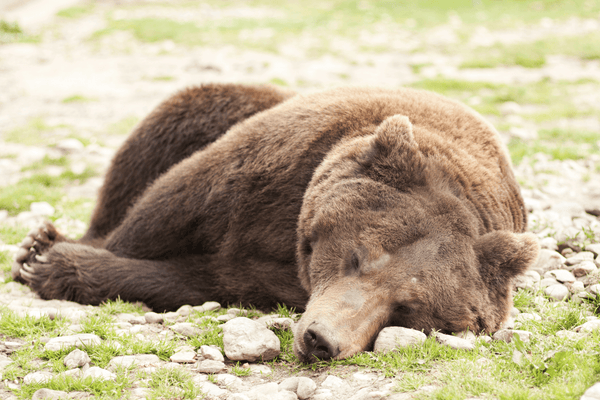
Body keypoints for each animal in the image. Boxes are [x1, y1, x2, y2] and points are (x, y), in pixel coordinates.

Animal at [12, 83, 540, 362]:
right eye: (359, 256)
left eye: (408, 308)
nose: (322, 339)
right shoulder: (274, 165)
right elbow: (166, 207)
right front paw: (47, 254)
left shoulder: (275, 275)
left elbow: (203, 277)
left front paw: (62, 266)